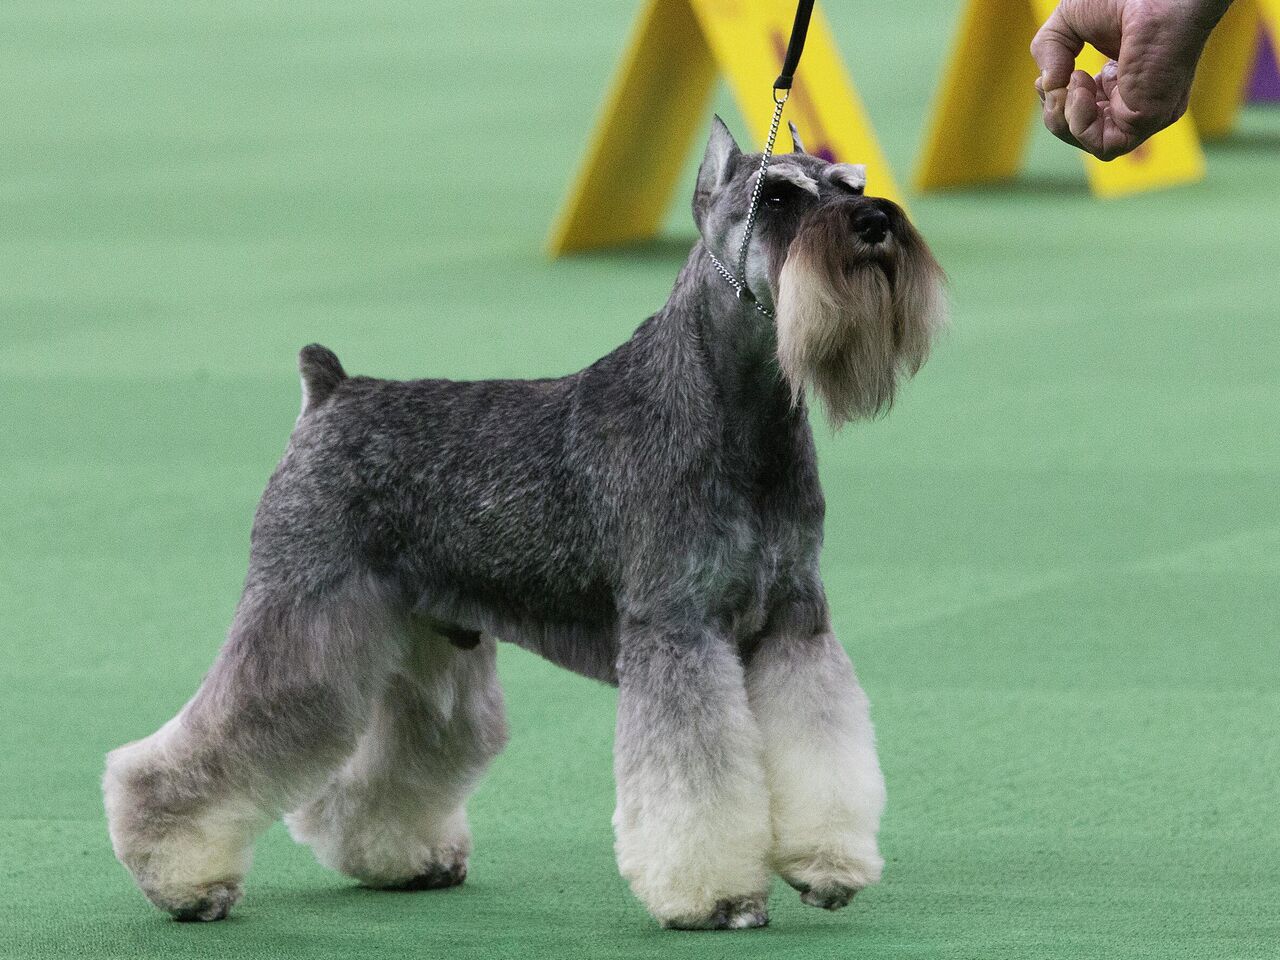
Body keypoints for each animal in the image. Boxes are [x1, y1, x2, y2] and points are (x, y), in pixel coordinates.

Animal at [104, 118, 947, 931]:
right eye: (776, 196)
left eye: (850, 184)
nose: (875, 222)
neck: (740, 412)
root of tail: (331, 390)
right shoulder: (678, 630)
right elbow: (696, 781)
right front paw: (715, 898)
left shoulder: (793, 625)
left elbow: (819, 747)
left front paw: (826, 864)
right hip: (304, 629)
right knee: (198, 751)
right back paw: (184, 882)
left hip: (429, 650)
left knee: (392, 765)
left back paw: (403, 858)